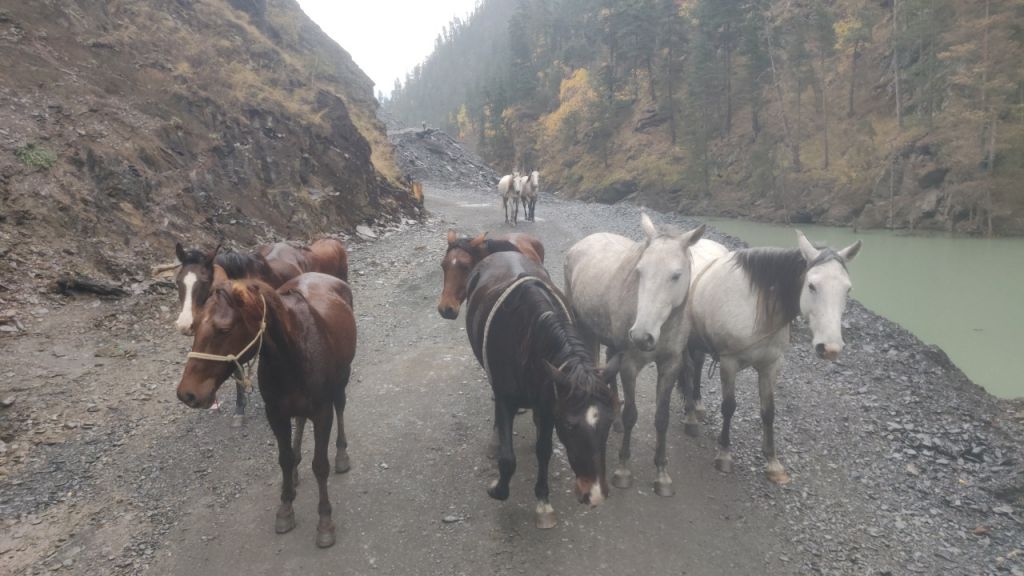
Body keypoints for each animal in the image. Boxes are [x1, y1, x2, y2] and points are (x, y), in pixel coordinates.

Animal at [175, 273, 356, 548]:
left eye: (224, 330)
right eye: (195, 328)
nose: (188, 393)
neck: (292, 353)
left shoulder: (322, 413)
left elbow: (320, 465)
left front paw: (325, 522)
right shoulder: (276, 414)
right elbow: (284, 459)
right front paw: (285, 507)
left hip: (341, 379)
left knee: (340, 406)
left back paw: (342, 455)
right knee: (300, 421)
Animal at [464, 251, 618, 528]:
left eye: (610, 421)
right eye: (569, 425)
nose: (595, 495)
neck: (527, 336)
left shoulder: (549, 405)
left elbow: (543, 450)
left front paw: (543, 504)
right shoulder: (506, 400)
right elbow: (507, 459)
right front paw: (498, 488)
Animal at [564, 213, 705, 497]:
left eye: (676, 275)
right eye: (640, 272)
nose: (642, 336)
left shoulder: (670, 365)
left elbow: (661, 418)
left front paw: (662, 473)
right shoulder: (630, 365)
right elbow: (632, 414)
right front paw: (623, 470)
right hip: (584, 328)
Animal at [679, 230, 862, 484]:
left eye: (848, 290)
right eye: (812, 286)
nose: (830, 348)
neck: (755, 308)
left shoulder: (771, 365)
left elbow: (769, 412)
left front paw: (773, 463)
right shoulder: (729, 363)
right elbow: (729, 407)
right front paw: (724, 454)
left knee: (696, 366)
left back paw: (697, 404)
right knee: (687, 370)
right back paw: (690, 417)